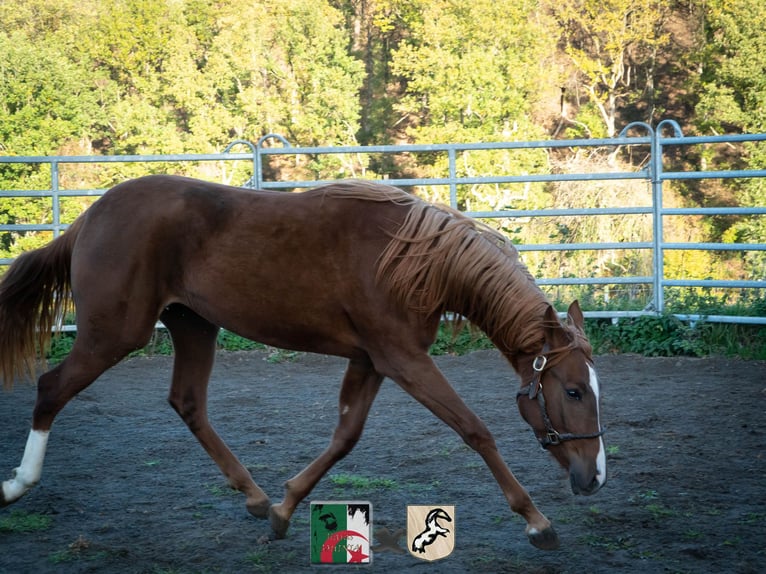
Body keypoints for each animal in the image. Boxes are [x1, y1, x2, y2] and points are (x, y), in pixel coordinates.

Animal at [0, 177, 608, 552]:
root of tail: (89, 217)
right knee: (51, 388)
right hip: (113, 334)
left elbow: (345, 437)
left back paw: (253, 496)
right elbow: (475, 430)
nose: (595, 477)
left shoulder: (371, 360)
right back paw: (16, 486)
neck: (412, 261)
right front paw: (537, 523)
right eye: (573, 391)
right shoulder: (403, 358)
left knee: (187, 403)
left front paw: (284, 509)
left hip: (194, 326)